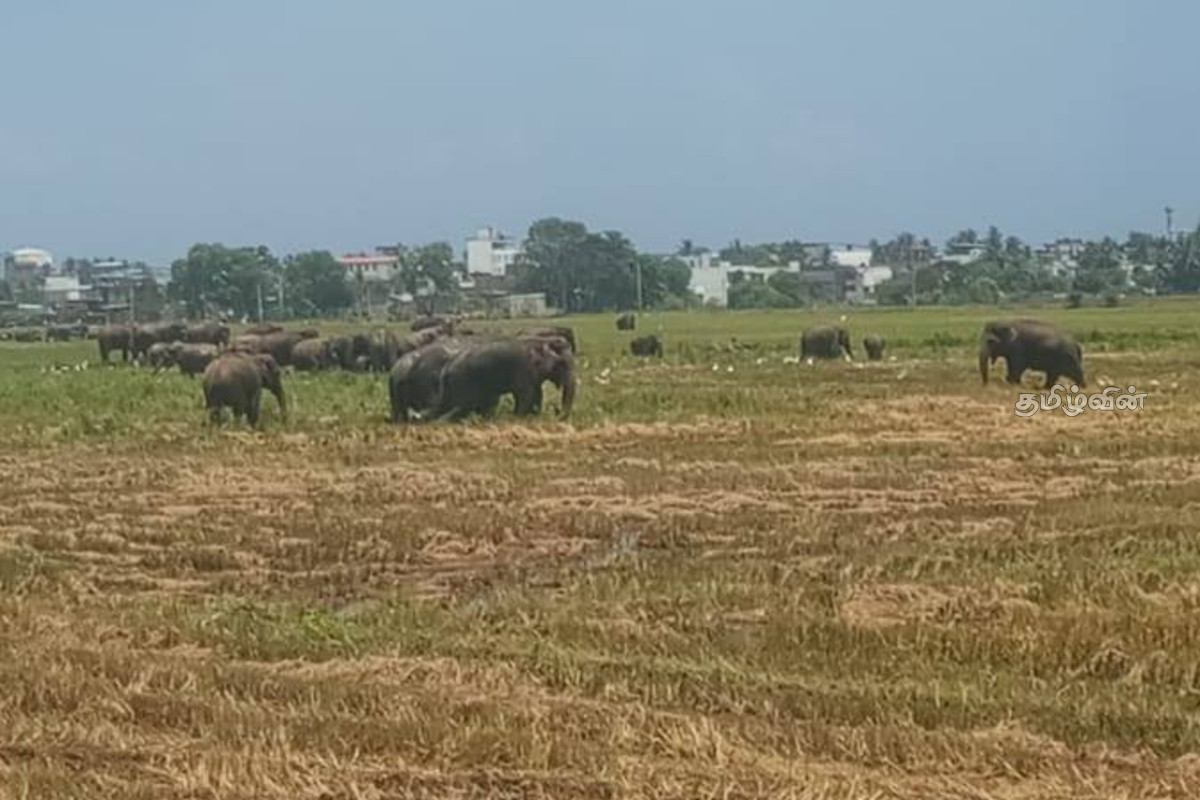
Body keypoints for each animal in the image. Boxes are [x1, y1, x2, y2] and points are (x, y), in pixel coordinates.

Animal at [436, 338, 576, 422]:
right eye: (561, 363)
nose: (556, 411)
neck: (539, 342)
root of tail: (446, 367)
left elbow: (537, 396)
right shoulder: (522, 369)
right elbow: (526, 396)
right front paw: (518, 419)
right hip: (463, 382)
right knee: (462, 407)